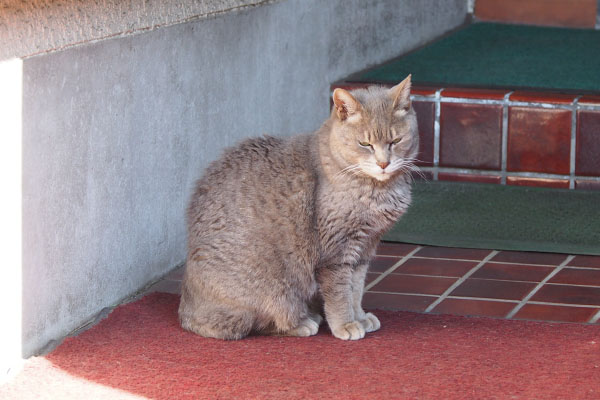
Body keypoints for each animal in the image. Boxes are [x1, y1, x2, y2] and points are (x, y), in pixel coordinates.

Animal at [180, 75, 420, 340]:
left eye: (395, 141)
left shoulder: (364, 247)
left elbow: (356, 289)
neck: (378, 190)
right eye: (365, 144)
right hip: (273, 287)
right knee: (253, 321)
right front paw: (346, 324)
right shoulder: (337, 253)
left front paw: (359, 316)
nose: (383, 163)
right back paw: (303, 321)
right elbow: (340, 293)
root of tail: (187, 310)